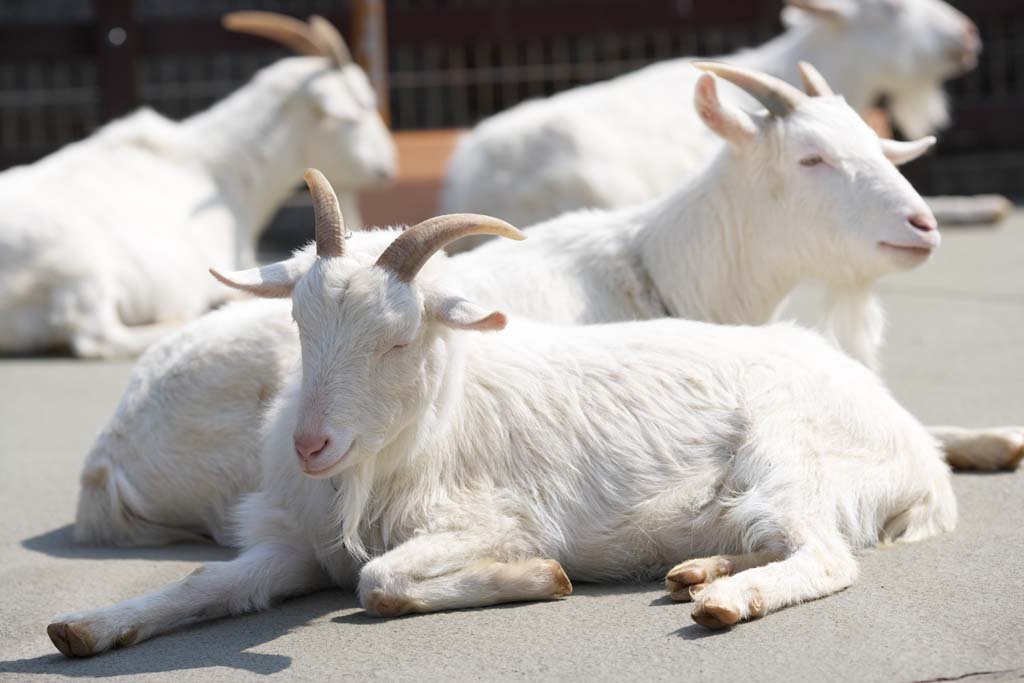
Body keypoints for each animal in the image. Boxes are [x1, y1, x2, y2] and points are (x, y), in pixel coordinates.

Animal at [48, 170, 957, 656]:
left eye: (400, 338)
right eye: (298, 325)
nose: (311, 443)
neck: (415, 439)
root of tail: (917, 446)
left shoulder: (489, 516)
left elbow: (379, 580)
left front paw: (537, 577)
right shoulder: (294, 543)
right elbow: (206, 581)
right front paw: (88, 626)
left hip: (787, 460)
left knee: (827, 554)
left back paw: (727, 599)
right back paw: (699, 570)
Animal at [73, 62, 1021, 550]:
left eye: (881, 146)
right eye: (812, 159)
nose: (922, 225)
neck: (659, 264)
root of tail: (106, 454)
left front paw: (997, 436)